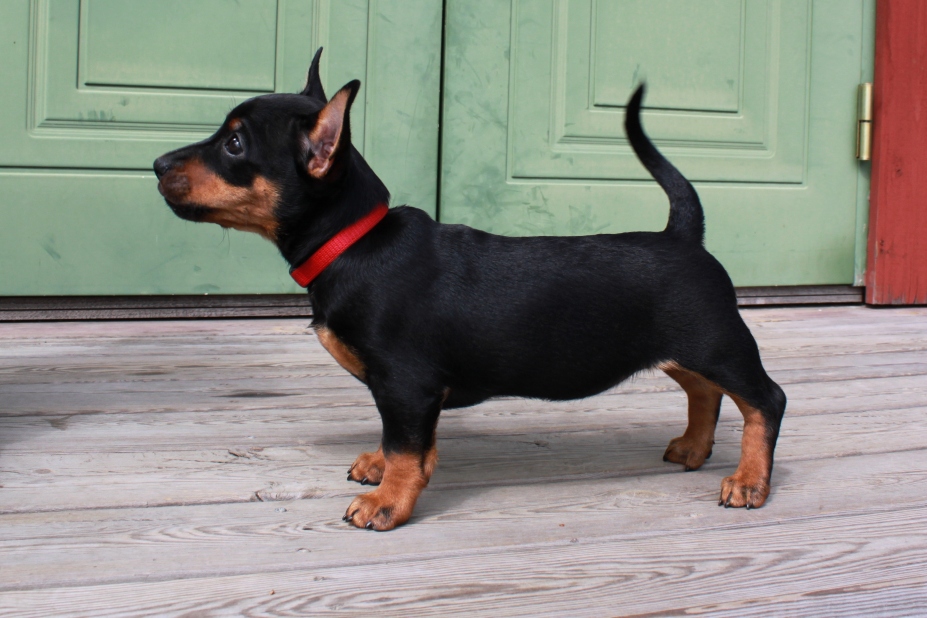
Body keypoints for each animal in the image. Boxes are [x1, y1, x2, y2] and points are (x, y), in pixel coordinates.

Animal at [154, 48, 786, 531]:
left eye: (235, 145)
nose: (156, 163)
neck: (357, 242)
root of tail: (683, 234)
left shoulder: (406, 383)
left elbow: (407, 447)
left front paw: (387, 503)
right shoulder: (410, 393)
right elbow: (407, 442)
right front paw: (379, 467)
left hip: (717, 341)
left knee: (765, 399)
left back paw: (749, 482)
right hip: (683, 348)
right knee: (704, 391)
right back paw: (694, 449)